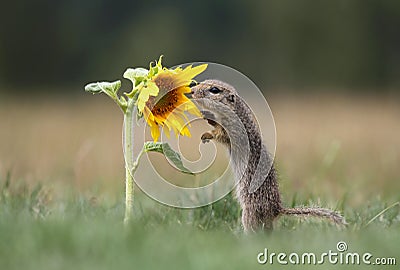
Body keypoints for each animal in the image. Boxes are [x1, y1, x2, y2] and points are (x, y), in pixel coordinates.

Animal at [190, 79, 344, 231]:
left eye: (214, 90)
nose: (192, 91)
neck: (234, 109)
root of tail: (276, 209)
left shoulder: (232, 129)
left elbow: (220, 134)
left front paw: (207, 133)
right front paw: (207, 116)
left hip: (249, 213)